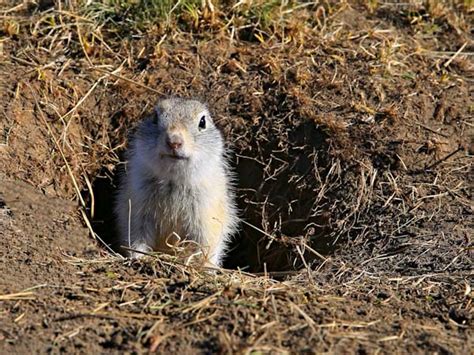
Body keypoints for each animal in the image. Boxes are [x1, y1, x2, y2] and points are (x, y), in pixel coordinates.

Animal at [115, 97, 237, 268]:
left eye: (202, 122)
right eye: (154, 117)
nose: (174, 142)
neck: (172, 181)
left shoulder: (206, 218)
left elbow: (202, 246)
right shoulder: (137, 210)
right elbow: (138, 238)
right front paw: (138, 257)